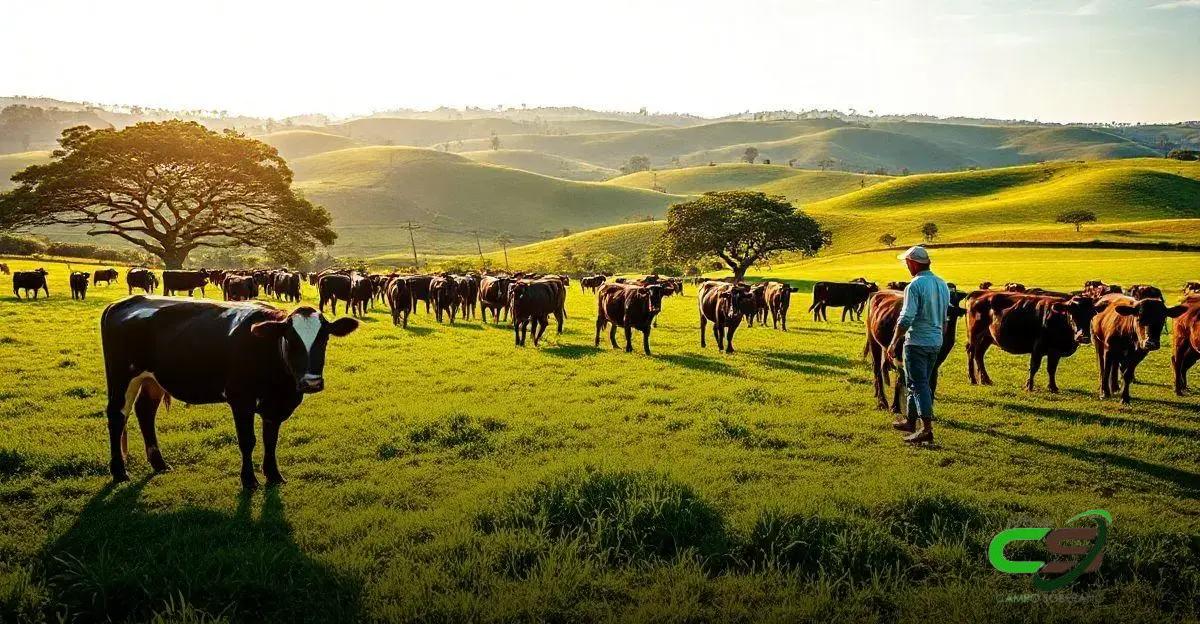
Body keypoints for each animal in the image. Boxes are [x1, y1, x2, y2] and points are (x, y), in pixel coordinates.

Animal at [101, 297, 355, 487]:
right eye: (290, 339)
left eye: (324, 338)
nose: (311, 382)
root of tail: (122, 303)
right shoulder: (241, 400)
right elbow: (248, 441)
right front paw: (249, 480)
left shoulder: (275, 406)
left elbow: (270, 439)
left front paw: (273, 474)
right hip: (122, 377)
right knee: (117, 416)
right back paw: (119, 471)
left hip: (152, 380)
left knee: (145, 412)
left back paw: (159, 463)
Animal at [964, 291, 1099, 388]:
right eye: (1071, 313)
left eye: (1091, 314)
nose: (1083, 336)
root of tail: (978, 293)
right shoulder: (1038, 347)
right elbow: (1034, 366)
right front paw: (1029, 386)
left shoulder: (1055, 351)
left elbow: (1052, 369)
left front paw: (1053, 387)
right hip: (974, 335)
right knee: (971, 352)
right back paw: (973, 379)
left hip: (987, 338)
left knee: (979, 354)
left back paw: (985, 380)